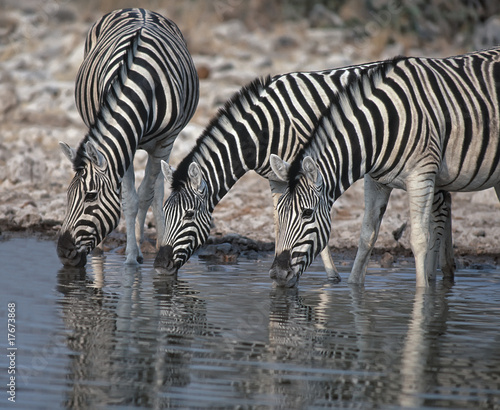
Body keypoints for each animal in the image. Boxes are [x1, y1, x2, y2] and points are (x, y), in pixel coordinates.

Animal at [56, 9, 199, 268]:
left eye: (91, 196)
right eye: (68, 195)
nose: (63, 253)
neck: (141, 86)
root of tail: (140, 9)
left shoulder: (164, 142)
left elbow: (144, 196)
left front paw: (134, 255)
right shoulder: (127, 146)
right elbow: (128, 199)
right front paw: (133, 254)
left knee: (157, 188)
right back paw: (101, 248)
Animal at [153, 60, 430, 278]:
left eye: (189, 215)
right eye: (163, 214)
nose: (158, 266)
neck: (261, 130)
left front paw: (331, 276)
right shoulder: (276, 178)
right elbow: (280, 220)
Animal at [270, 47, 500, 286]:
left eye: (307, 213)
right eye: (279, 212)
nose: (277, 274)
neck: (381, 128)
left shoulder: (421, 177)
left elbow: (419, 239)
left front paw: (423, 292)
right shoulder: (376, 181)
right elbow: (366, 235)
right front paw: (354, 287)